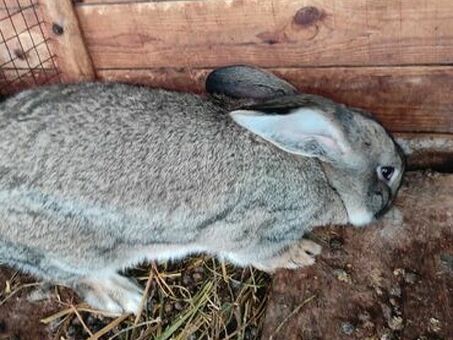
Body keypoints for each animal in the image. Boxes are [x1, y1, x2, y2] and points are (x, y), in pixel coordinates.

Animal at [0, 65, 402, 314]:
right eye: (387, 171)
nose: (389, 202)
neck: (321, 169)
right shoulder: (257, 228)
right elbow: (259, 253)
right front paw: (301, 253)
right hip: (71, 249)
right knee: (70, 274)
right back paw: (125, 298)